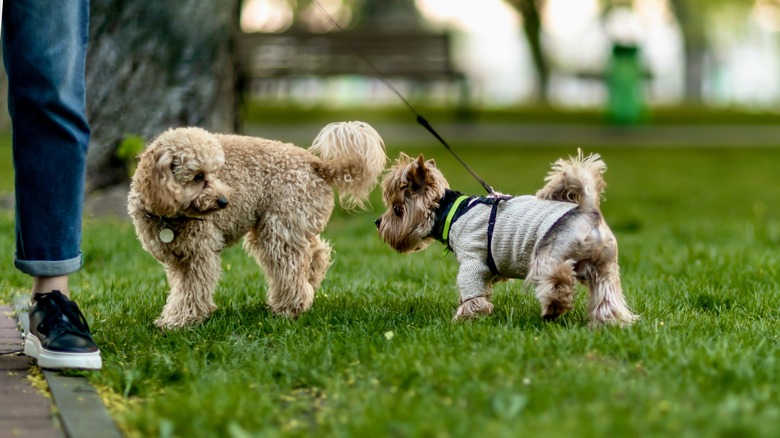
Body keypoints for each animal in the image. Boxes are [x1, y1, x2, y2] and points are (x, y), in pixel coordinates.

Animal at [128, 122, 386, 328]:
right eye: (199, 176)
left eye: (215, 173)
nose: (224, 202)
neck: (169, 215)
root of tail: (314, 162)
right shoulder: (178, 258)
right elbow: (182, 289)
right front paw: (176, 318)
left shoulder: (199, 254)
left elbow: (192, 290)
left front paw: (180, 321)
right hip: (293, 224)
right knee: (317, 253)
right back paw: (308, 285)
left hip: (279, 228)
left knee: (290, 268)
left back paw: (288, 308)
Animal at [374, 151, 636, 328]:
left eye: (397, 209)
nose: (377, 222)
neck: (451, 212)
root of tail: (588, 211)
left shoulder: (472, 259)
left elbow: (471, 291)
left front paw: (465, 317)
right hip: (605, 266)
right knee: (606, 295)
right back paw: (608, 322)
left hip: (548, 253)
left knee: (558, 278)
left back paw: (554, 307)